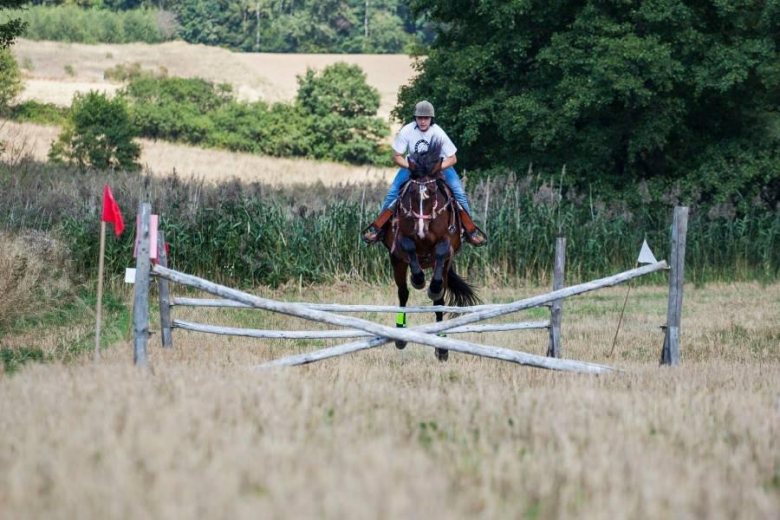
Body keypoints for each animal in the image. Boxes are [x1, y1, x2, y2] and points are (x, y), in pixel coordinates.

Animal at [380, 140, 478, 364]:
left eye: (433, 191)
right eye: (412, 193)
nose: (421, 229)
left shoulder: (448, 244)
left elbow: (441, 252)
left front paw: (431, 287)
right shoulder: (400, 241)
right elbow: (408, 246)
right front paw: (418, 279)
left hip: (443, 269)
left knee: (439, 301)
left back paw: (442, 347)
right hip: (397, 262)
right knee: (403, 293)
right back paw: (401, 335)